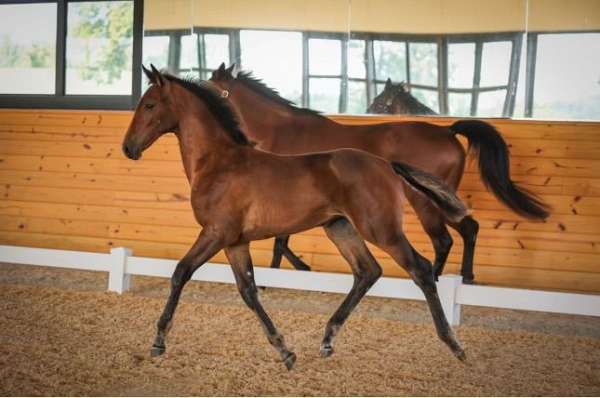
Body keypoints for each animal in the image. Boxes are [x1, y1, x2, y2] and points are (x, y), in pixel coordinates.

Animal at [122, 64, 468, 370]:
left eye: (150, 104)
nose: (128, 148)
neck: (219, 162)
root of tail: (386, 164)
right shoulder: (235, 242)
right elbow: (248, 291)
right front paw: (285, 351)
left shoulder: (215, 233)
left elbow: (181, 272)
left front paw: (158, 342)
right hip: (340, 228)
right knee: (367, 271)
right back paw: (327, 339)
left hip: (381, 229)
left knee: (421, 269)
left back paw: (454, 344)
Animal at [210, 63, 548, 282]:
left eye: (209, 86)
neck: (283, 130)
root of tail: (448, 132)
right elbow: (284, 237)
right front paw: (296, 269)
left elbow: (281, 239)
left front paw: (283, 272)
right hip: (444, 200)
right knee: (469, 229)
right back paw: (465, 277)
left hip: (425, 201)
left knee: (444, 241)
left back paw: (436, 280)